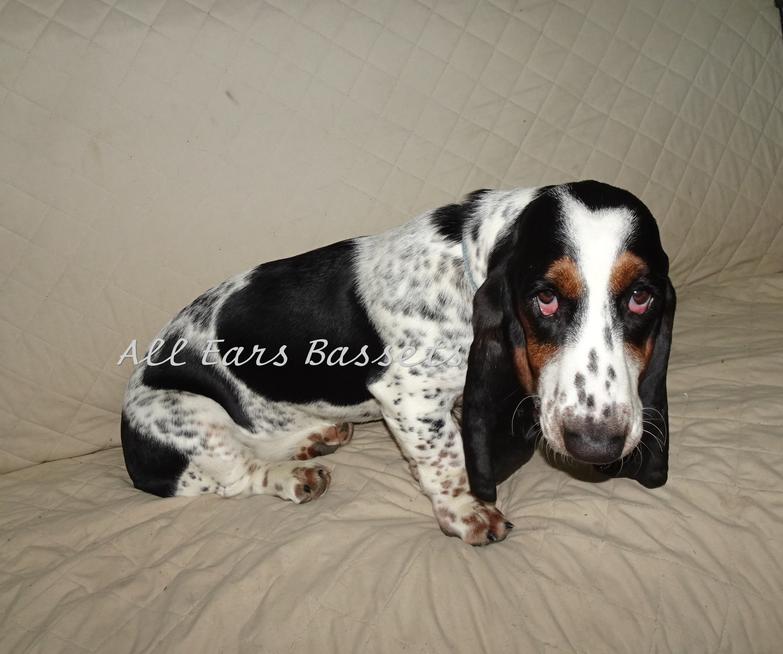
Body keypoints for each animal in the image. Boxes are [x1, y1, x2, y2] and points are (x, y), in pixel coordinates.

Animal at [121, 180, 675, 545]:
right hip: (190, 413)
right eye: (545, 298)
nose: (597, 444)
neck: (466, 261)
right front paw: (467, 512)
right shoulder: (411, 398)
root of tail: (133, 459)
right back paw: (294, 477)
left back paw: (314, 435)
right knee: (238, 477)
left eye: (641, 298)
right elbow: (446, 459)